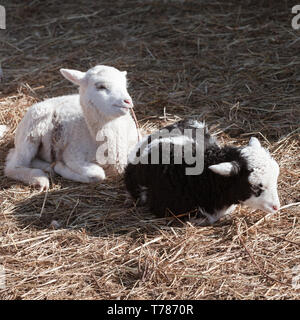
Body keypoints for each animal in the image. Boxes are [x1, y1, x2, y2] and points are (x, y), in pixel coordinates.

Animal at [4, 65, 140, 190]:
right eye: (101, 86)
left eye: (124, 85)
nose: (127, 101)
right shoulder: (72, 155)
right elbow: (98, 174)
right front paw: (60, 167)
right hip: (30, 132)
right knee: (12, 164)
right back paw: (40, 178)